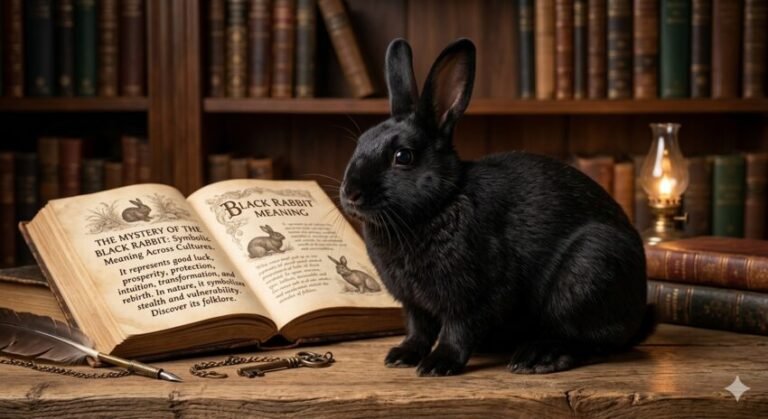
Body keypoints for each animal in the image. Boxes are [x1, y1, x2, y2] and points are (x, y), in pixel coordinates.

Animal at [338, 38, 655, 377]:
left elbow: (457, 330)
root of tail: (638, 307)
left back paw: (538, 357)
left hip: (588, 272)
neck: (438, 204)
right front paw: (401, 356)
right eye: (360, 142)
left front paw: (438, 364)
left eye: (403, 156)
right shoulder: (414, 304)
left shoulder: (475, 294)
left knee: (592, 341)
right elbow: (418, 329)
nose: (350, 193)